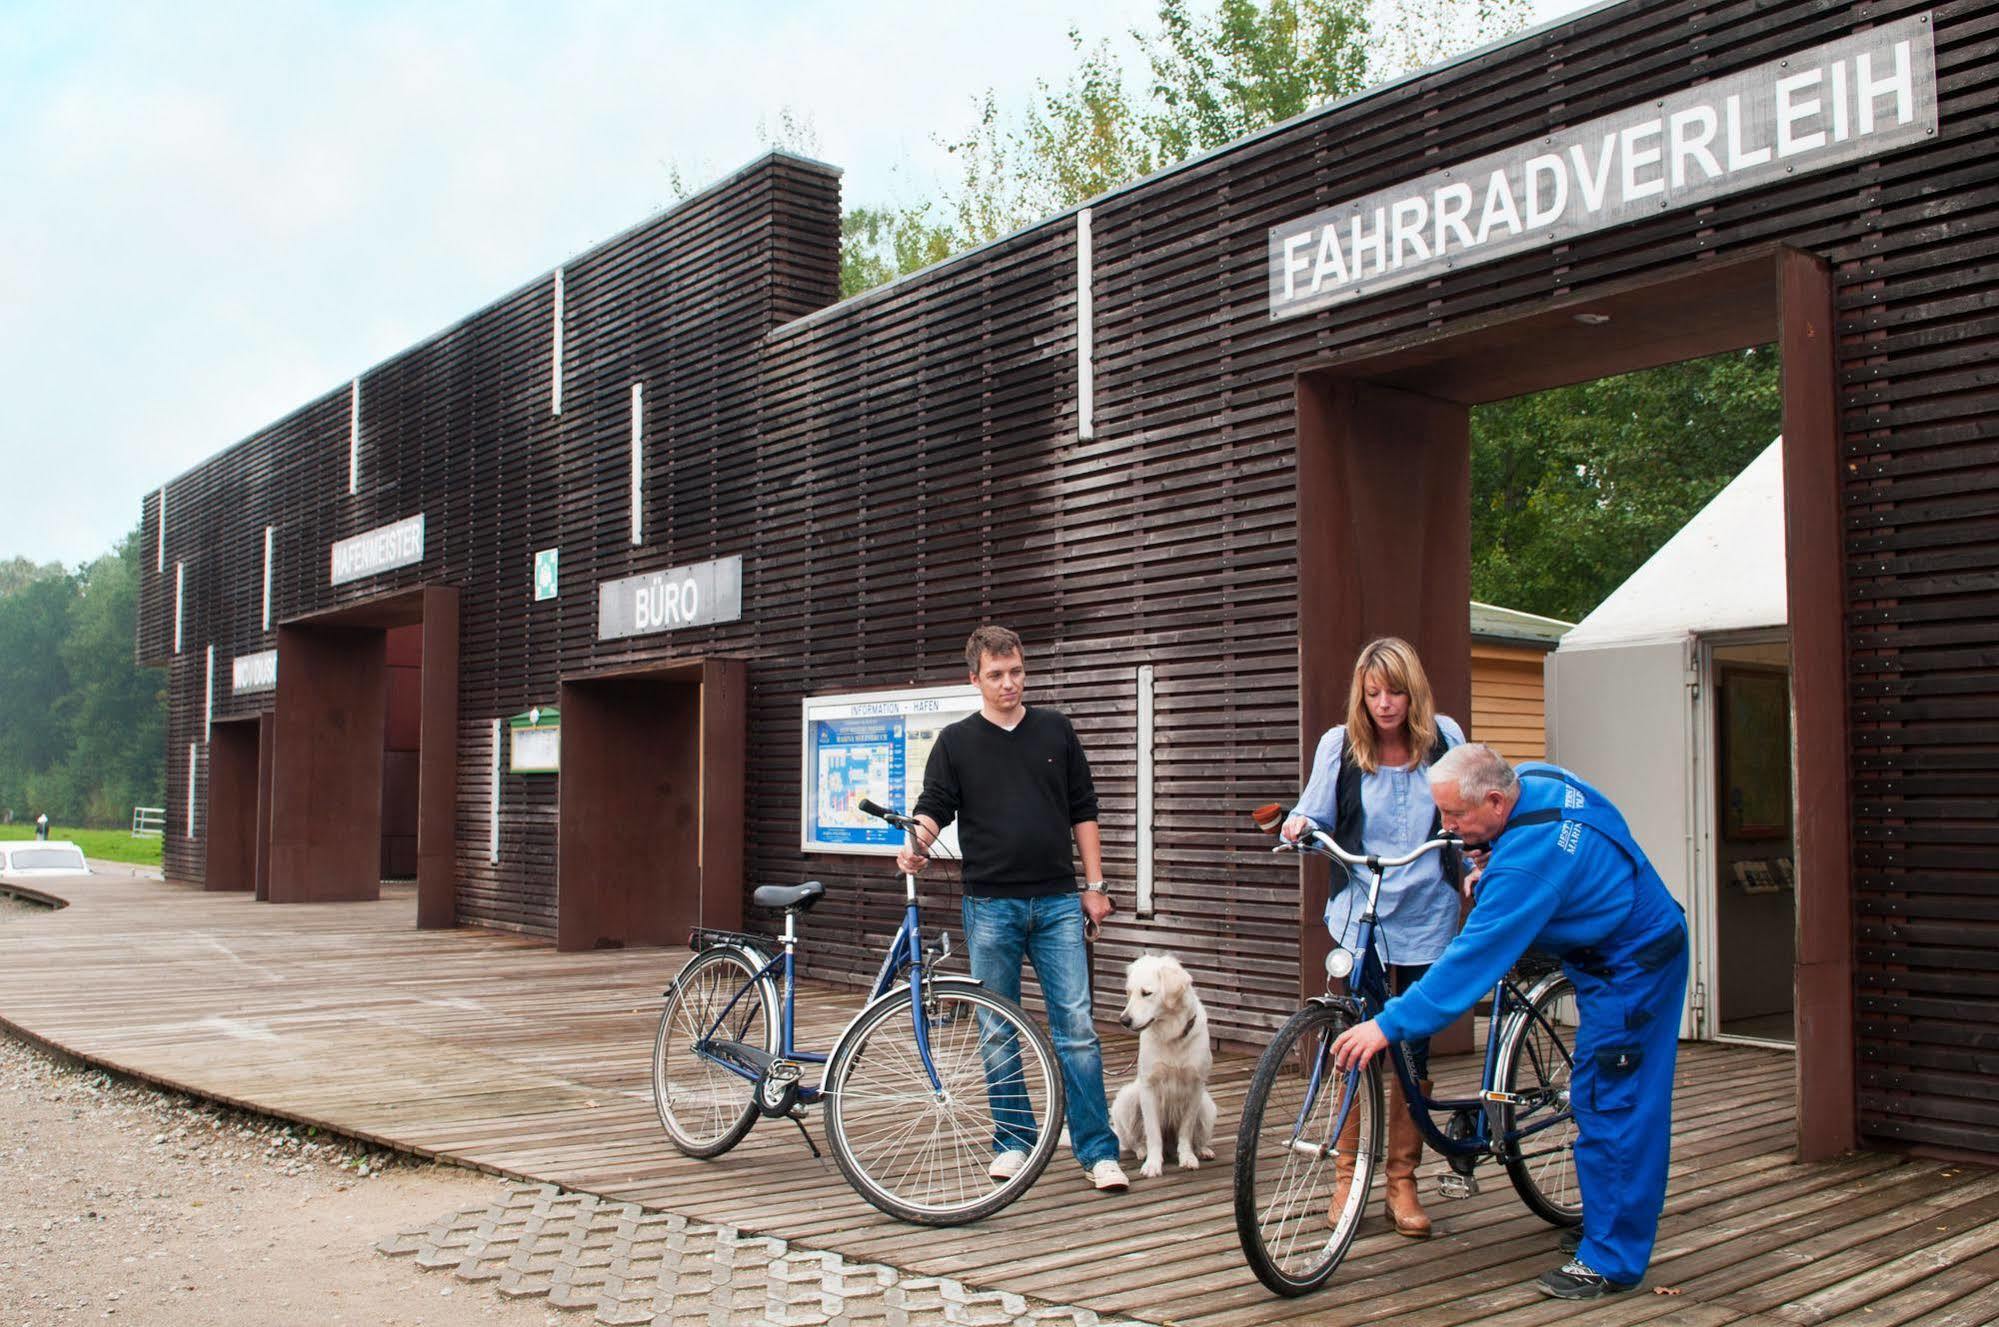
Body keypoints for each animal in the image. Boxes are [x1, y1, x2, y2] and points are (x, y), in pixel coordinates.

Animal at [1111, 947, 1215, 1175]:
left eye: (1146, 993)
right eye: (1129, 992)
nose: (1124, 1021)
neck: (1171, 1035)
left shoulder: (1196, 1085)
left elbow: (1186, 1129)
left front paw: (1187, 1157)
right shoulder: (1149, 1086)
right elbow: (1153, 1133)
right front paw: (1152, 1164)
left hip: (1207, 1106)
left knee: (1198, 1137)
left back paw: (1203, 1150)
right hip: (1127, 1098)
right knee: (1135, 1141)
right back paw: (1142, 1151)